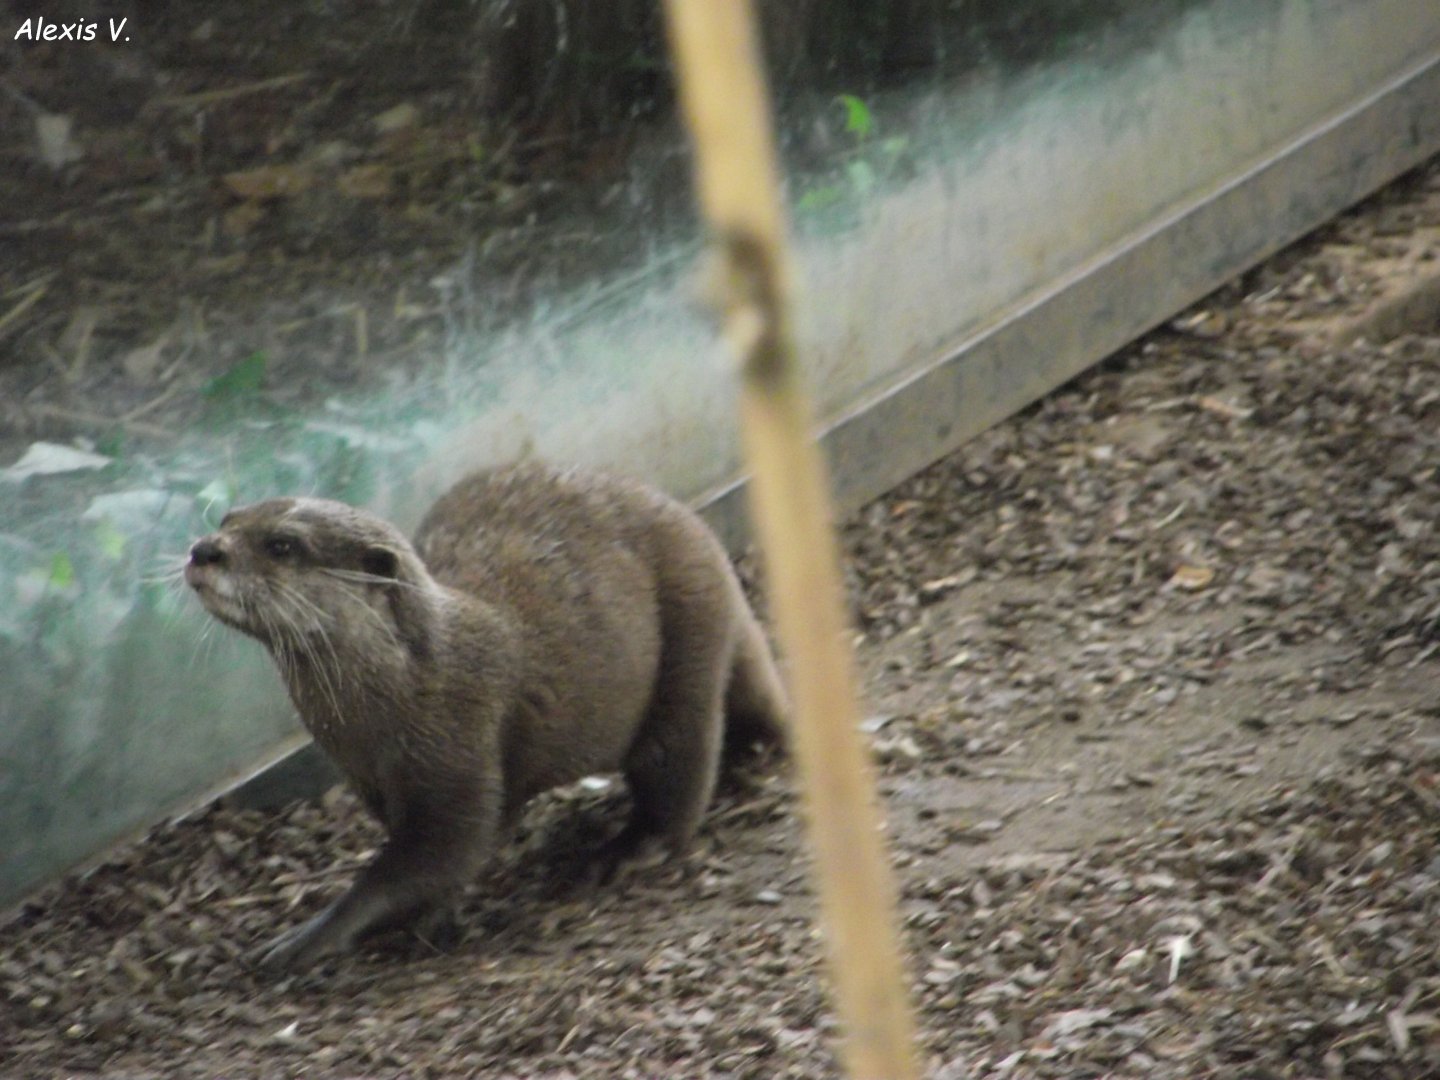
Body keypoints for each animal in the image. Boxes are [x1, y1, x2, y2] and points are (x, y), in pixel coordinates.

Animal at [184, 463, 786, 971]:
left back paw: (630, 849)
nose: (203, 549)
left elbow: (433, 855)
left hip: (688, 626)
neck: (408, 691)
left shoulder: (459, 751)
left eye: (282, 545)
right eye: (228, 518)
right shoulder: (372, 781)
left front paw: (314, 934)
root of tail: (698, 529)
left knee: (679, 765)